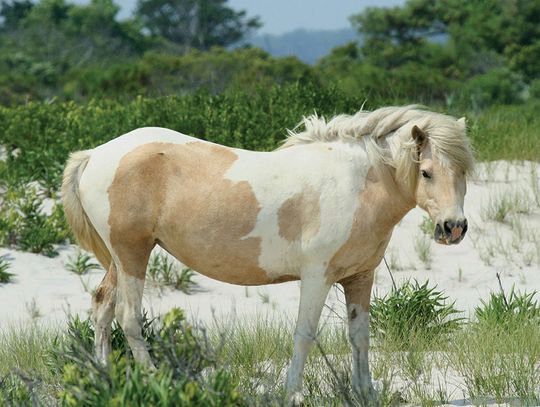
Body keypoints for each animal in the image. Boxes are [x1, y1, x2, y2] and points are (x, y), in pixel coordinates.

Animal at [60, 104, 472, 402]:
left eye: (463, 173)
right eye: (427, 172)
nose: (454, 227)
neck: (356, 184)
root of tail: (95, 154)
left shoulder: (360, 277)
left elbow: (360, 337)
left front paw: (366, 394)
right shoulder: (317, 277)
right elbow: (305, 335)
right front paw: (294, 395)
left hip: (120, 259)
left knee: (102, 308)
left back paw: (106, 382)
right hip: (132, 254)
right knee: (129, 318)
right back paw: (153, 382)